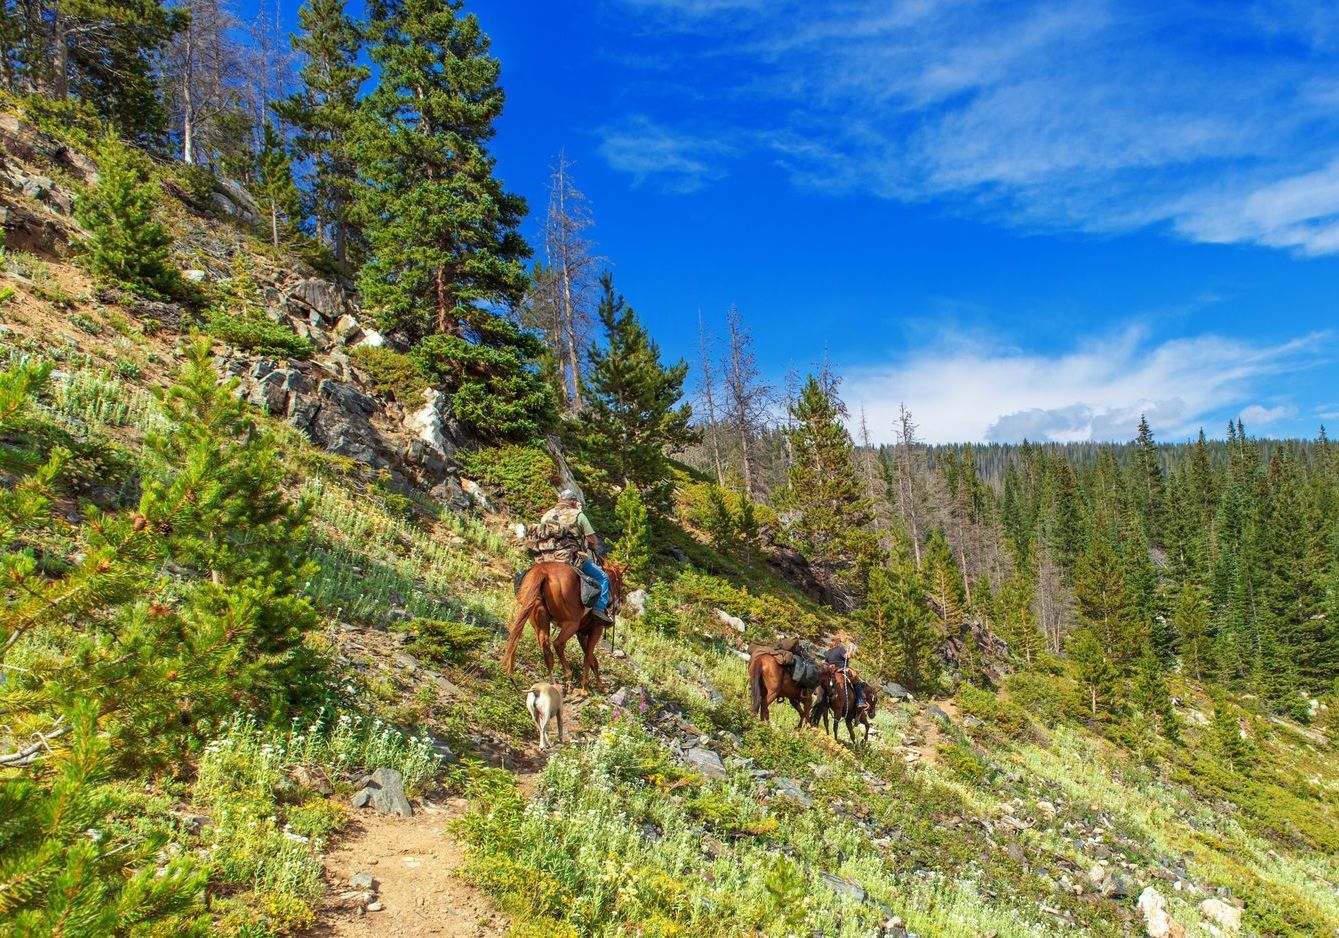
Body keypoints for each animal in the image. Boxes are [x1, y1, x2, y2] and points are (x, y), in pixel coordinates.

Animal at [500, 559, 625, 694]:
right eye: (620, 584)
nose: (618, 608)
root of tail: (542, 570)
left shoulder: (581, 633)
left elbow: (593, 660)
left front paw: (601, 686)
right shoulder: (596, 629)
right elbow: (588, 657)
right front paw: (585, 688)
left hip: (541, 620)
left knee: (547, 649)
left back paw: (554, 684)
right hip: (571, 623)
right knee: (558, 644)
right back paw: (568, 678)